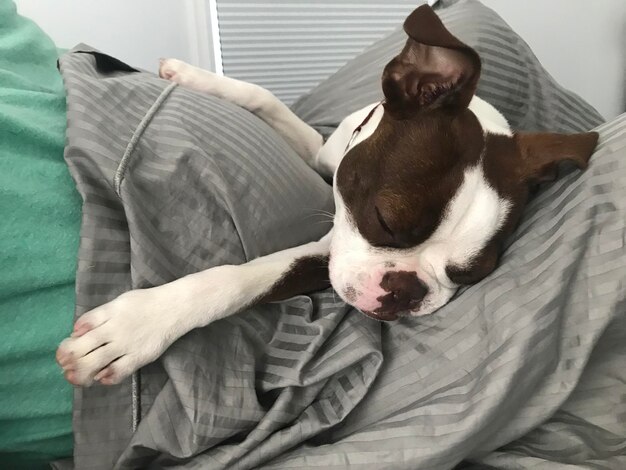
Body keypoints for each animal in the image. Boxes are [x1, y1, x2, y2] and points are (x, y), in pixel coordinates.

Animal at [57, 4, 596, 386]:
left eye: (469, 275)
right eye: (384, 221)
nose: (406, 291)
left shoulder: (330, 253)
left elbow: (248, 277)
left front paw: (135, 328)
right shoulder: (323, 154)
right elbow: (265, 99)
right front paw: (195, 76)